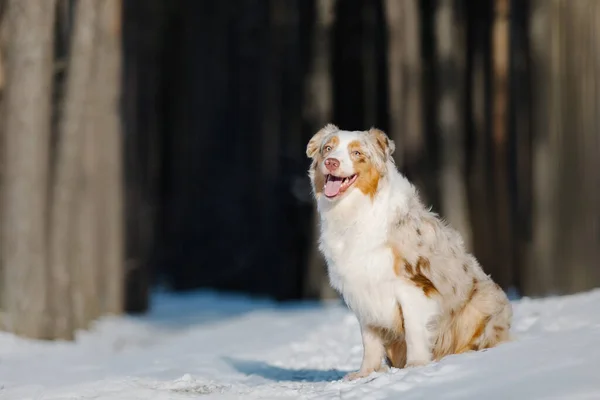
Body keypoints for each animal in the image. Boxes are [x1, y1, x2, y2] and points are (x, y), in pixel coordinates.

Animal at [310, 125, 510, 382]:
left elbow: (415, 330)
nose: (331, 162)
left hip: (484, 301)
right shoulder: (361, 290)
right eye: (327, 148)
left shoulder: (413, 285)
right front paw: (365, 373)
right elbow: (369, 340)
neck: (356, 213)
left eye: (357, 153)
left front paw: (416, 366)